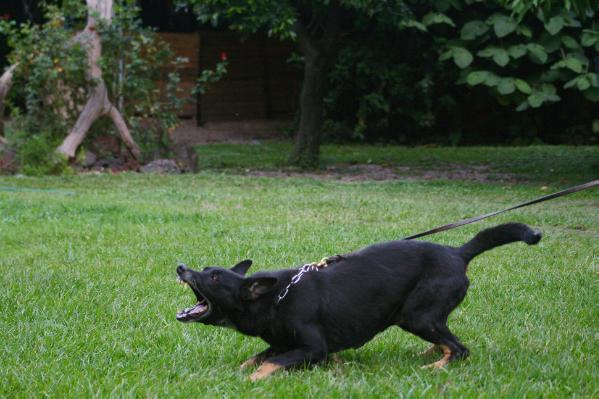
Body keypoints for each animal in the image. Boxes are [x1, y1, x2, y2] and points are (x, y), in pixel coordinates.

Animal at [176, 223, 540, 380]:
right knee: (448, 340)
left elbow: (268, 365)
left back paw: (435, 367)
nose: (180, 267)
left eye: (214, 277)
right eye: (205, 269)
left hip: (418, 315)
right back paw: (432, 353)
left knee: (461, 349)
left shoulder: (312, 348)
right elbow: (255, 358)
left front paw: (249, 382)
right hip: (419, 317)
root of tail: (458, 253)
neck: (276, 297)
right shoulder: (282, 342)